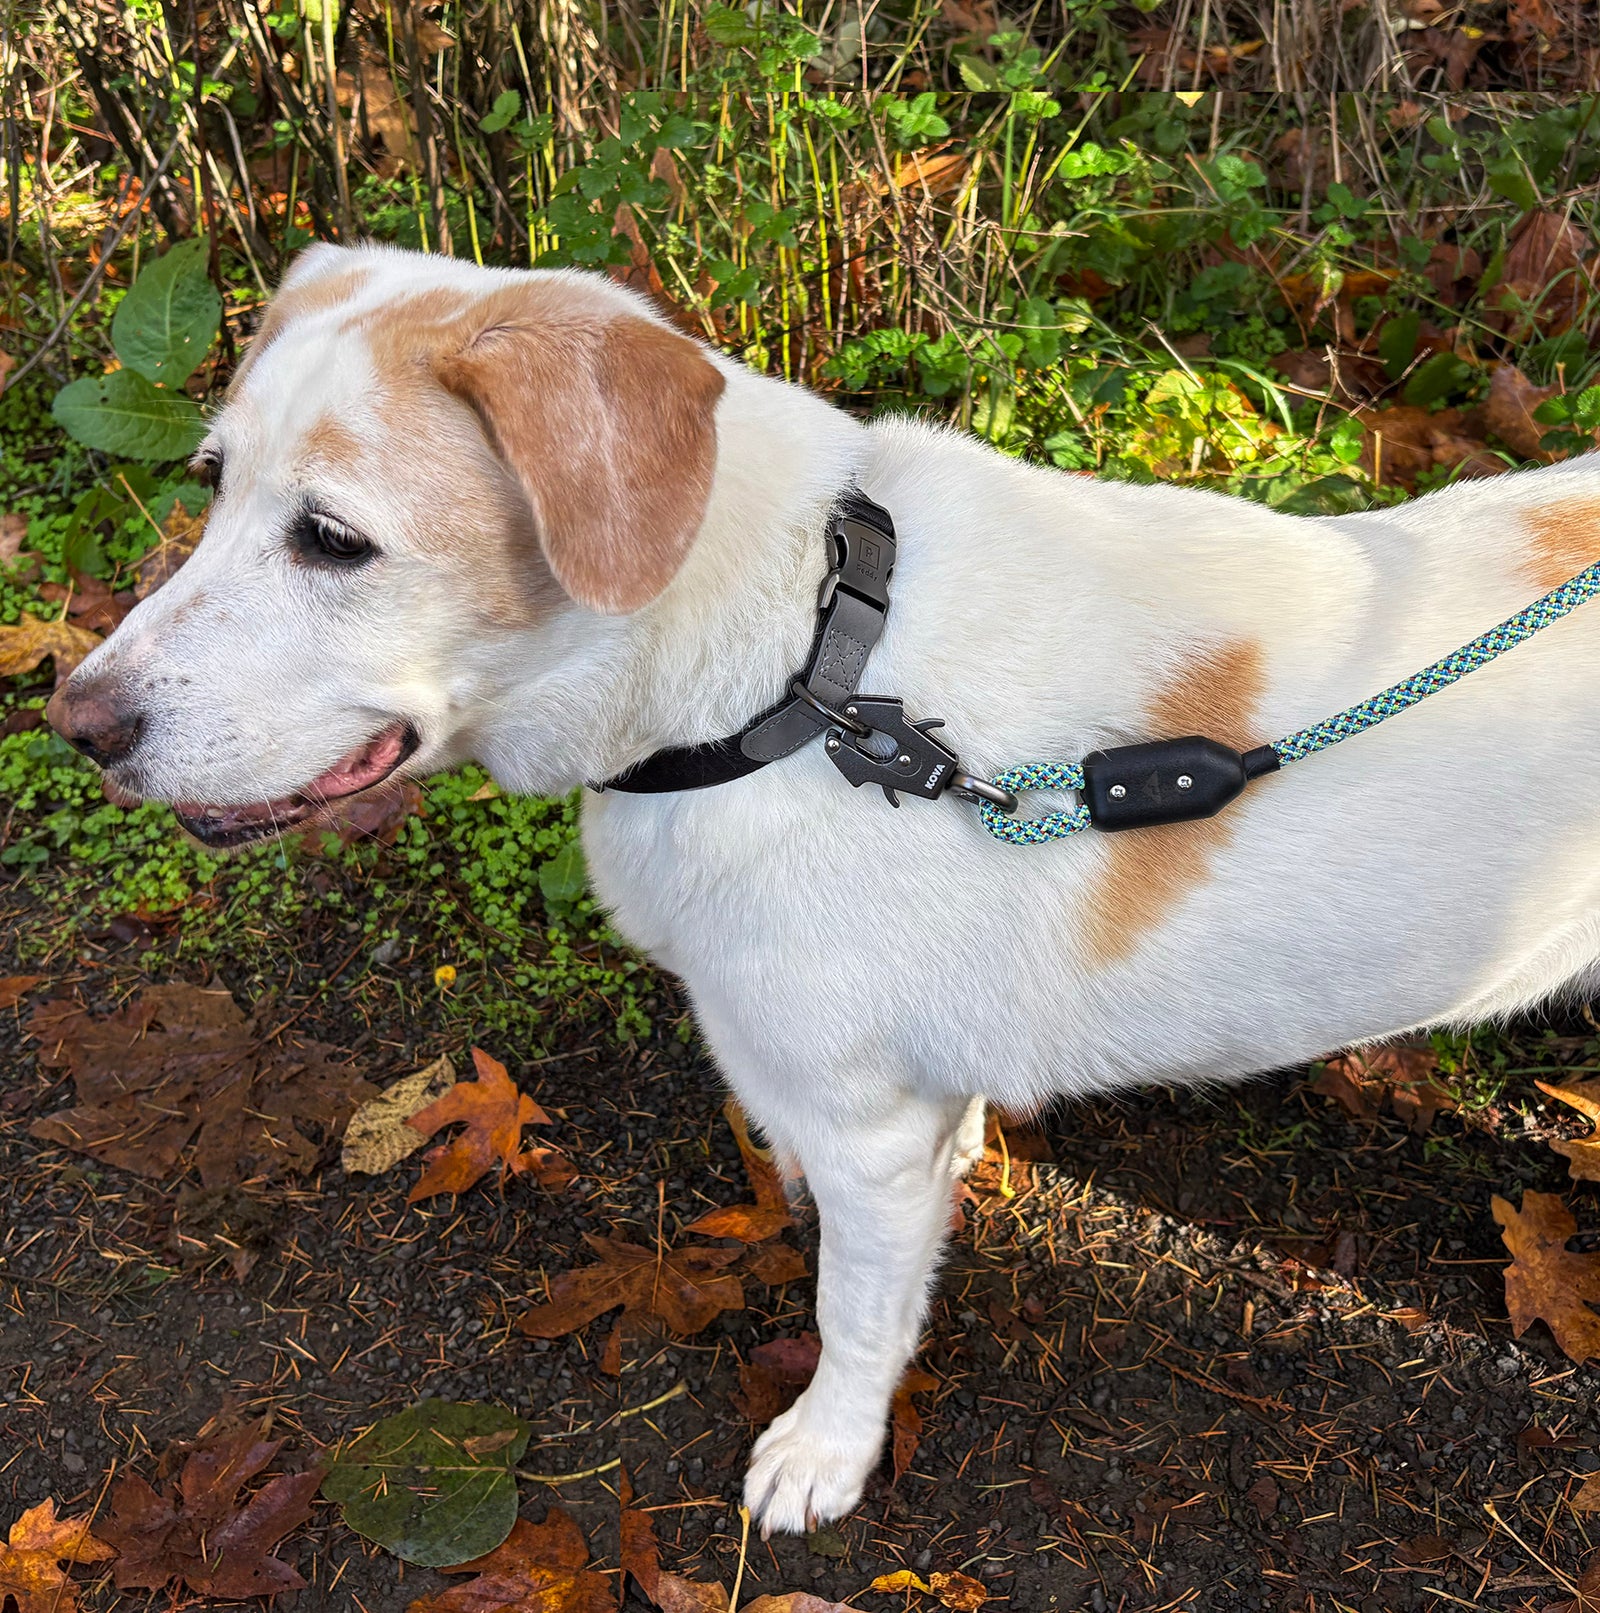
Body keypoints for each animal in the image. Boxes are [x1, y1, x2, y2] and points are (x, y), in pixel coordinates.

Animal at [48, 242, 1600, 1535]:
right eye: (211, 483)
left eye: (332, 537)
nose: (73, 722)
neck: (806, 677)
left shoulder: (860, 1135)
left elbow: (857, 1316)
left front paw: (828, 1453)